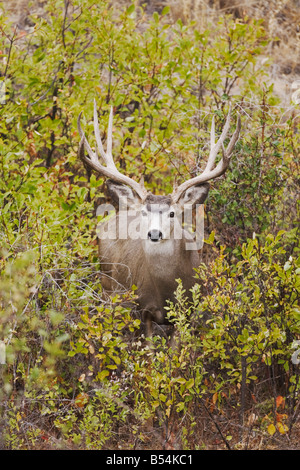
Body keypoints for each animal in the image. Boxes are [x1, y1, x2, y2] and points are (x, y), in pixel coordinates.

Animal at [78, 101, 241, 340]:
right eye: (145, 213)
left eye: (172, 213)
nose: (154, 233)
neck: (166, 290)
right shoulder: (143, 308)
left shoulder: (187, 311)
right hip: (108, 286)